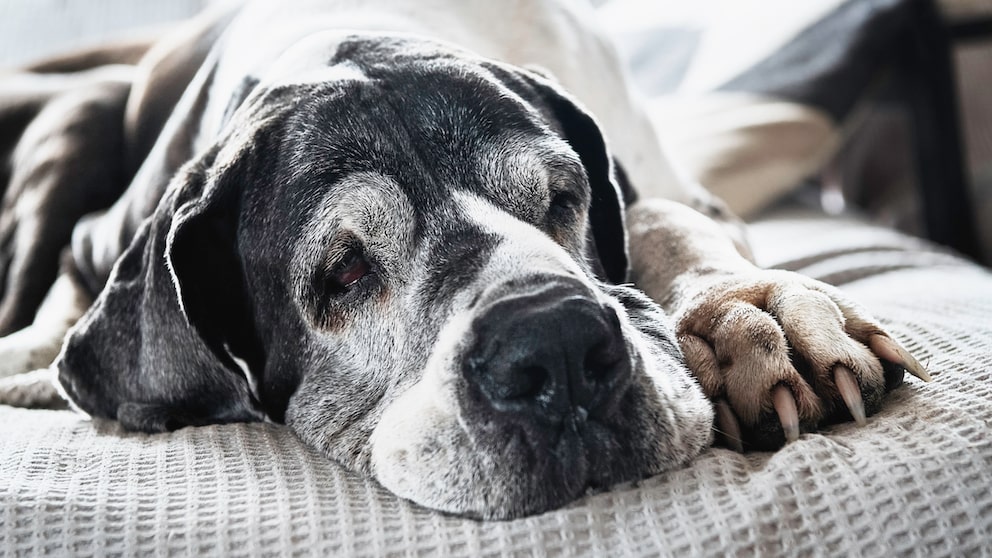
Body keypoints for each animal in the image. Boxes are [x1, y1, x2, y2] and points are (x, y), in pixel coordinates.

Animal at [0, 2, 928, 524]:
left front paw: (752, 311)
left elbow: (665, 219)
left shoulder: (668, 188)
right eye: (343, 273)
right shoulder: (102, 234)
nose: (556, 348)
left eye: (562, 199)